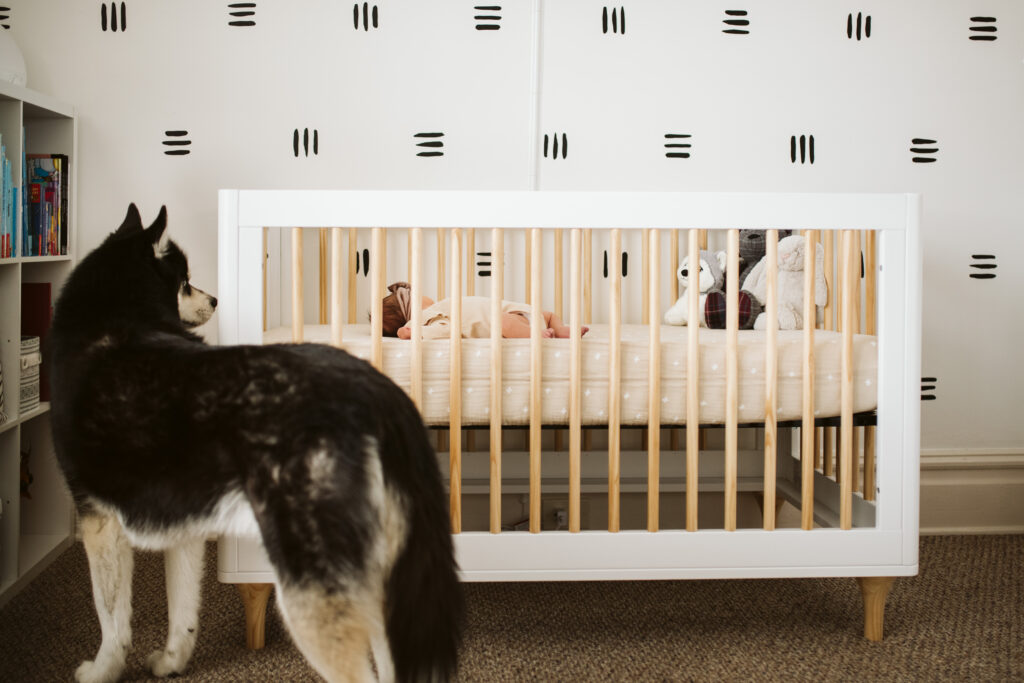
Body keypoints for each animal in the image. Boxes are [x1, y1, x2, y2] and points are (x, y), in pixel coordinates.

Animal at [50, 205, 460, 679]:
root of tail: (375, 390)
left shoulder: (98, 518)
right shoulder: (181, 523)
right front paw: (172, 661)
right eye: (185, 281)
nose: (214, 301)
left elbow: (111, 616)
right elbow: (182, 607)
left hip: (310, 579)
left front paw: (101, 670)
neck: (116, 314)